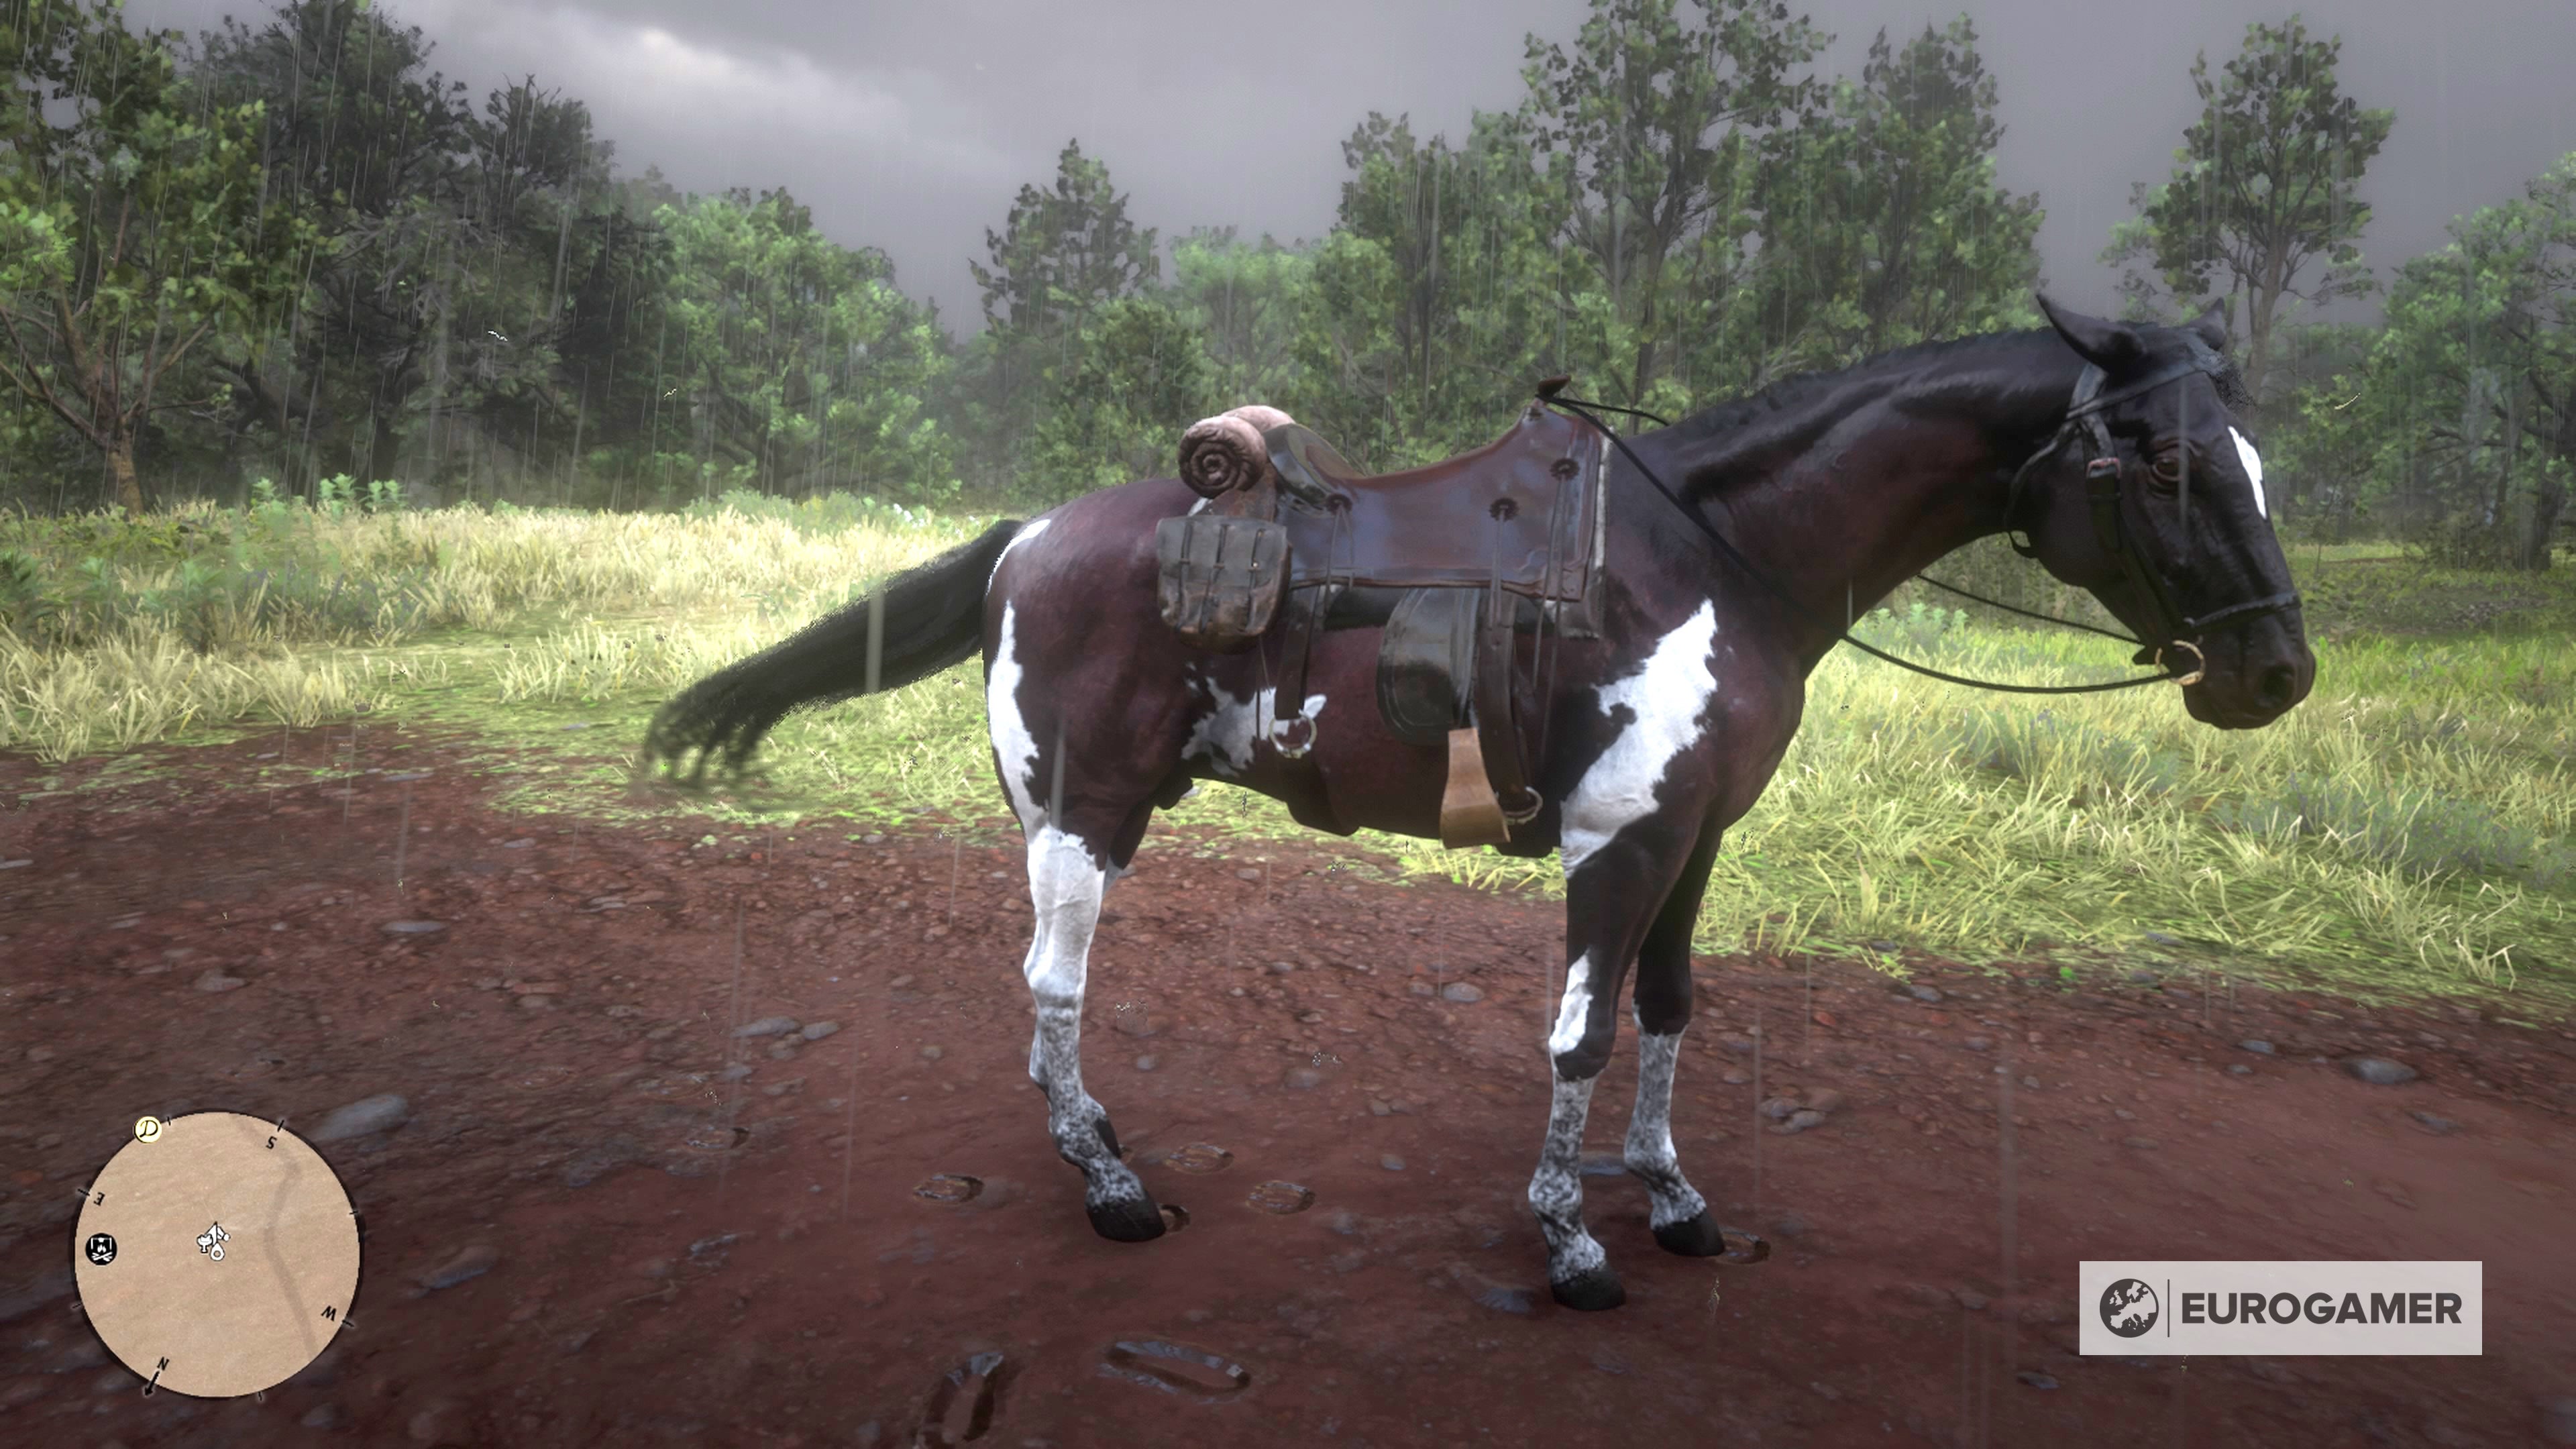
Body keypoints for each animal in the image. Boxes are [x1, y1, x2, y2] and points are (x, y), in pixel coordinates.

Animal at [641, 295, 2314, 1311]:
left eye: (2248, 451)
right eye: (2164, 458)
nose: (2276, 671)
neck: (1703, 559)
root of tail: (1029, 536)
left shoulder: (1697, 840)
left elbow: (1671, 1012)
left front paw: (1672, 1197)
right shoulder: (1616, 842)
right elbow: (1581, 1030)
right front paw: (1571, 1237)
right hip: (1081, 814)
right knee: (1052, 985)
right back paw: (1110, 1182)